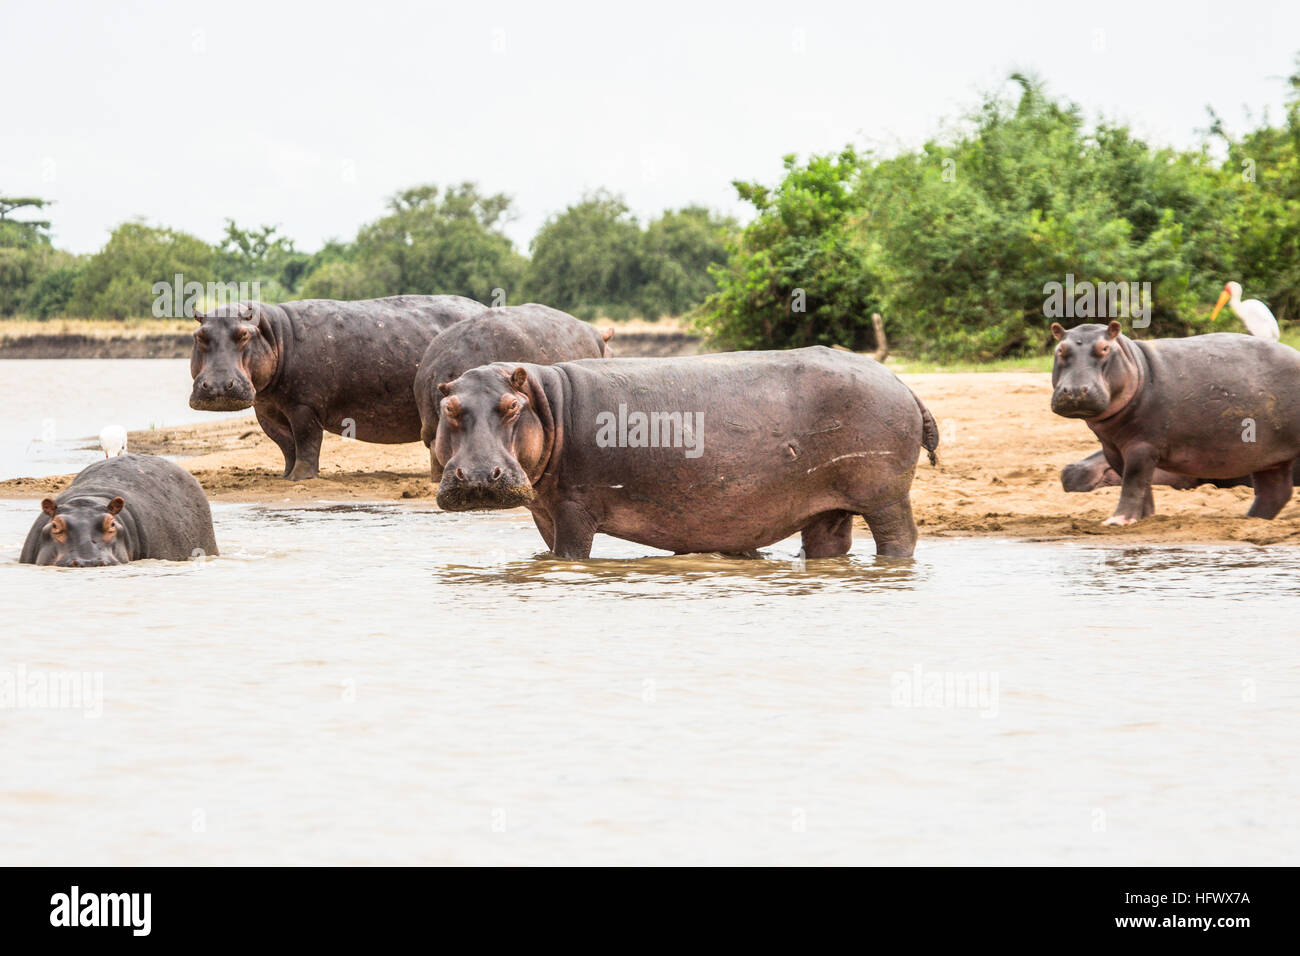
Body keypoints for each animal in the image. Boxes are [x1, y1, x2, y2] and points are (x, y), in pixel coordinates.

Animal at [191, 295, 487, 480]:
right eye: (199, 335)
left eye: (243, 334)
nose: (217, 386)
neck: (274, 334)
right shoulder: (267, 410)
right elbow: (286, 445)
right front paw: (285, 475)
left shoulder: (303, 406)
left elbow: (307, 440)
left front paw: (300, 478)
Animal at [431, 347, 939, 559]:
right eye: (448, 408)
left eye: (511, 407)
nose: (479, 475)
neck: (547, 402)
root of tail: (903, 384)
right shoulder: (546, 511)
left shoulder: (575, 507)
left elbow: (571, 556)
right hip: (828, 507)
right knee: (828, 544)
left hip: (885, 497)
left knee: (900, 538)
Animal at [1050, 321, 1300, 524]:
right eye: (1060, 349)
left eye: (1104, 348)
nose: (1074, 390)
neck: (1136, 364)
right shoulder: (1114, 448)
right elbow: (1139, 483)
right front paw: (1145, 518)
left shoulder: (1142, 445)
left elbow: (1133, 481)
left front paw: (1117, 521)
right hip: (1267, 457)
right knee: (1275, 492)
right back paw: (1250, 519)